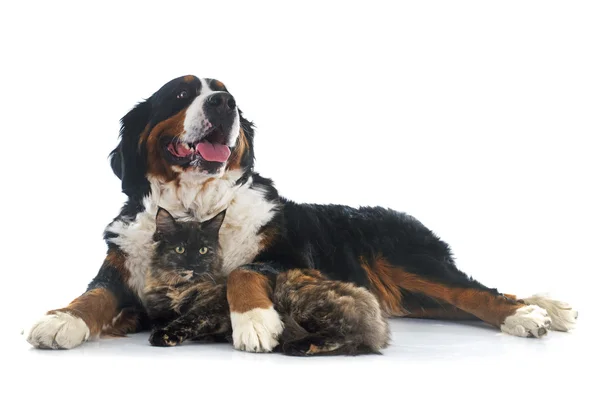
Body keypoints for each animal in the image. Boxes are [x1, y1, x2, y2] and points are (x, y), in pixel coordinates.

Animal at [144, 208, 390, 356]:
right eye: (180, 249)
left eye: (203, 250)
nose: (193, 264)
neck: (176, 286)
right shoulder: (160, 309)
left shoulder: (214, 304)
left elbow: (189, 319)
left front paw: (164, 335)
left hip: (303, 305)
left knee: (347, 335)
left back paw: (299, 346)